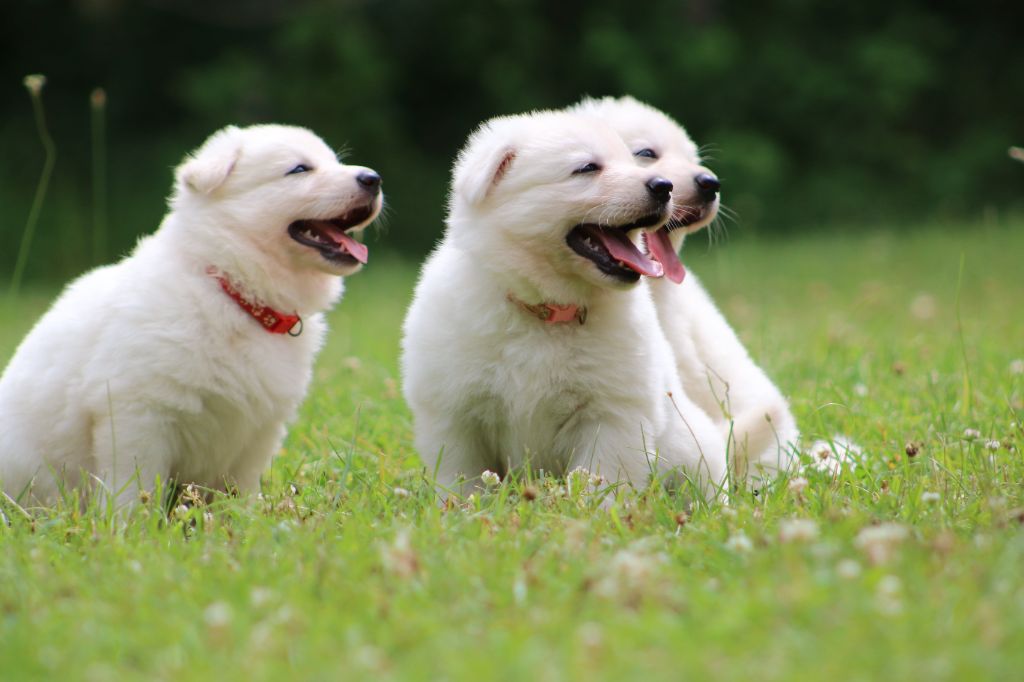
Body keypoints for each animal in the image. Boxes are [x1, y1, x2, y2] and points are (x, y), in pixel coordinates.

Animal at [0, 123, 382, 503]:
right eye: (300, 169)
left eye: (334, 162)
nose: (373, 178)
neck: (230, 287)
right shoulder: (136, 412)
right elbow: (133, 488)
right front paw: (132, 521)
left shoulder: (259, 431)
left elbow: (242, 491)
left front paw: (248, 517)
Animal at [399, 107, 729, 499]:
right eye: (587, 167)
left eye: (630, 158)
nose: (665, 186)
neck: (545, 308)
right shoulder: (454, 416)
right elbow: (464, 481)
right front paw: (466, 509)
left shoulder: (612, 415)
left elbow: (602, 480)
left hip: (697, 452)